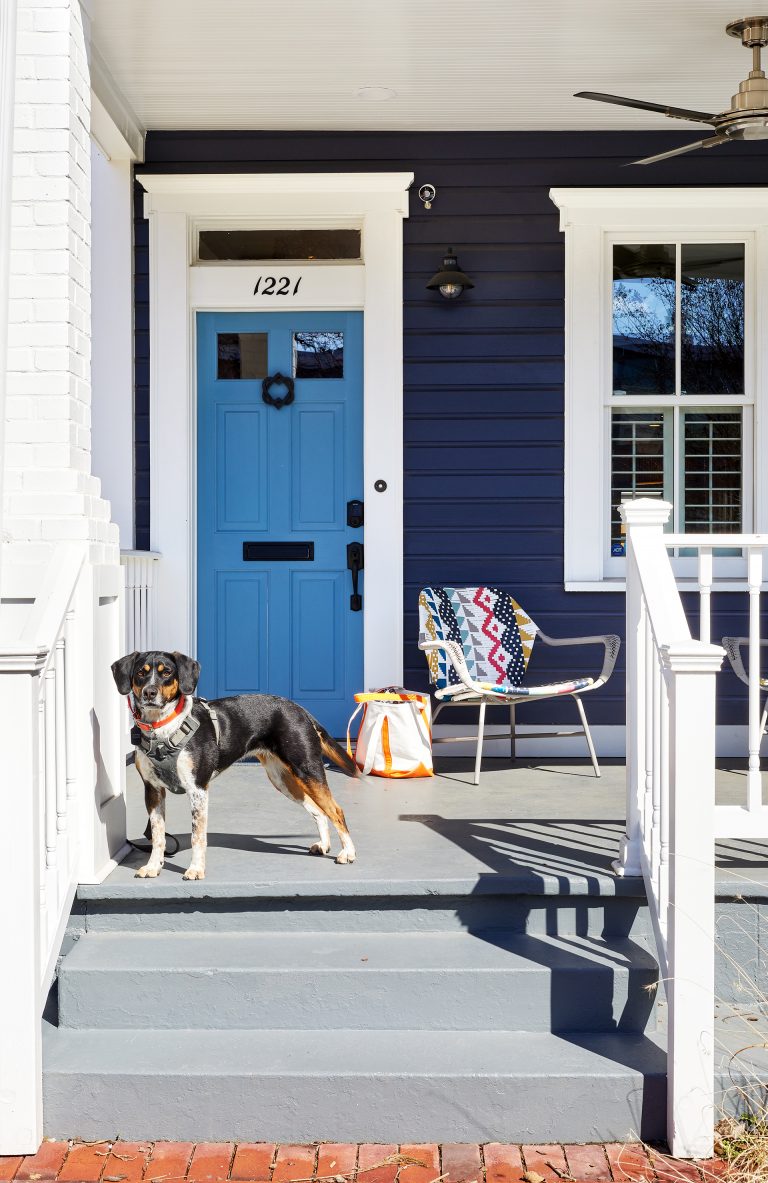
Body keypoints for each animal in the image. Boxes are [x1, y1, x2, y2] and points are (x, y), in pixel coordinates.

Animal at [110, 648, 357, 880]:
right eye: (140, 673)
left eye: (167, 672)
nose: (149, 692)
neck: (161, 729)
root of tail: (301, 710)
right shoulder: (153, 790)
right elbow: (158, 835)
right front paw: (153, 866)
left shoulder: (198, 789)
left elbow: (197, 836)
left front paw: (196, 869)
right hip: (284, 779)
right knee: (319, 810)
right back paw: (323, 845)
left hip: (307, 770)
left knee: (336, 810)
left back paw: (348, 853)